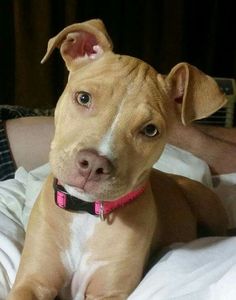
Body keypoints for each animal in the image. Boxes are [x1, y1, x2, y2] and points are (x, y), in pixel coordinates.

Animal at [7, 19, 229, 300]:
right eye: (83, 98)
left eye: (150, 130)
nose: (93, 164)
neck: (87, 214)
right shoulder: (34, 280)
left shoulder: (108, 291)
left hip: (207, 205)